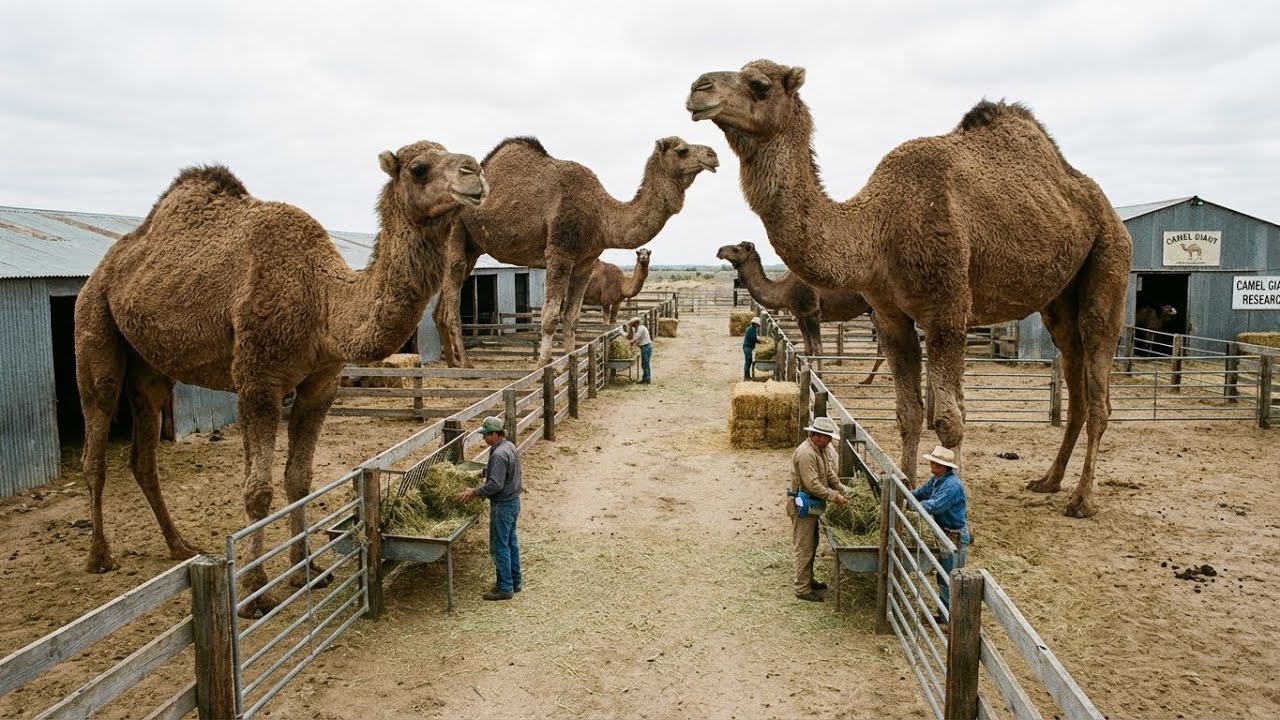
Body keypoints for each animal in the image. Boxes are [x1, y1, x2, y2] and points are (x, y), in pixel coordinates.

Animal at [75, 141, 487, 615]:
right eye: (419, 168)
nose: (474, 172)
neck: (323, 301)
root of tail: (105, 267)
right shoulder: (258, 381)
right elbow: (258, 490)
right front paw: (256, 592)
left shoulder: (320, 385)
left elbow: (299, 480)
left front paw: (307, 571)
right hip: (94, 324)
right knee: (96, 436)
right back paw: (100, 557)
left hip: (151, 367)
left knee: (143, 450)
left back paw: (180, 546)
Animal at [433, 136, 718, 367]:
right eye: (682, 150)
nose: (713, 154)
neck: (601, 214)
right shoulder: (559, 253)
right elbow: (550, 317)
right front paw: (543, 368)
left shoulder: (585, 262)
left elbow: (571, 318)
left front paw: (571, 365)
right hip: (455, 228)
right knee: (453, 290)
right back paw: (465, 363)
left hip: (474, 245)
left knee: (447, 296)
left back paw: (452, 362)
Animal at [716, 240, 883, 384]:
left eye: (736, 249)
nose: (719, 251)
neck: (786, 289)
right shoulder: (800, 317)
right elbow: (808, 348)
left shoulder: (812, 314)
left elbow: (818, 348)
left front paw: (820, 379)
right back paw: (868, 380)